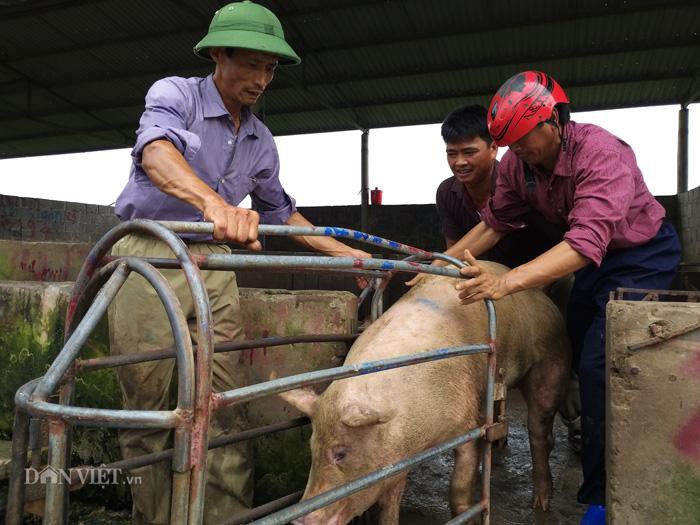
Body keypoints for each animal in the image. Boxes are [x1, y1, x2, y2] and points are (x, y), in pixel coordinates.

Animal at [282, 262, 572, 524]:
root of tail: (546, 301)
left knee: (540, 431)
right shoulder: (396, 456)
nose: (300, 521)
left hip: (552, 361)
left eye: (341, 453)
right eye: (312, 447)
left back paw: (541, 503)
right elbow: (389, 503)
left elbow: (458, 489)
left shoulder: (469, 425)